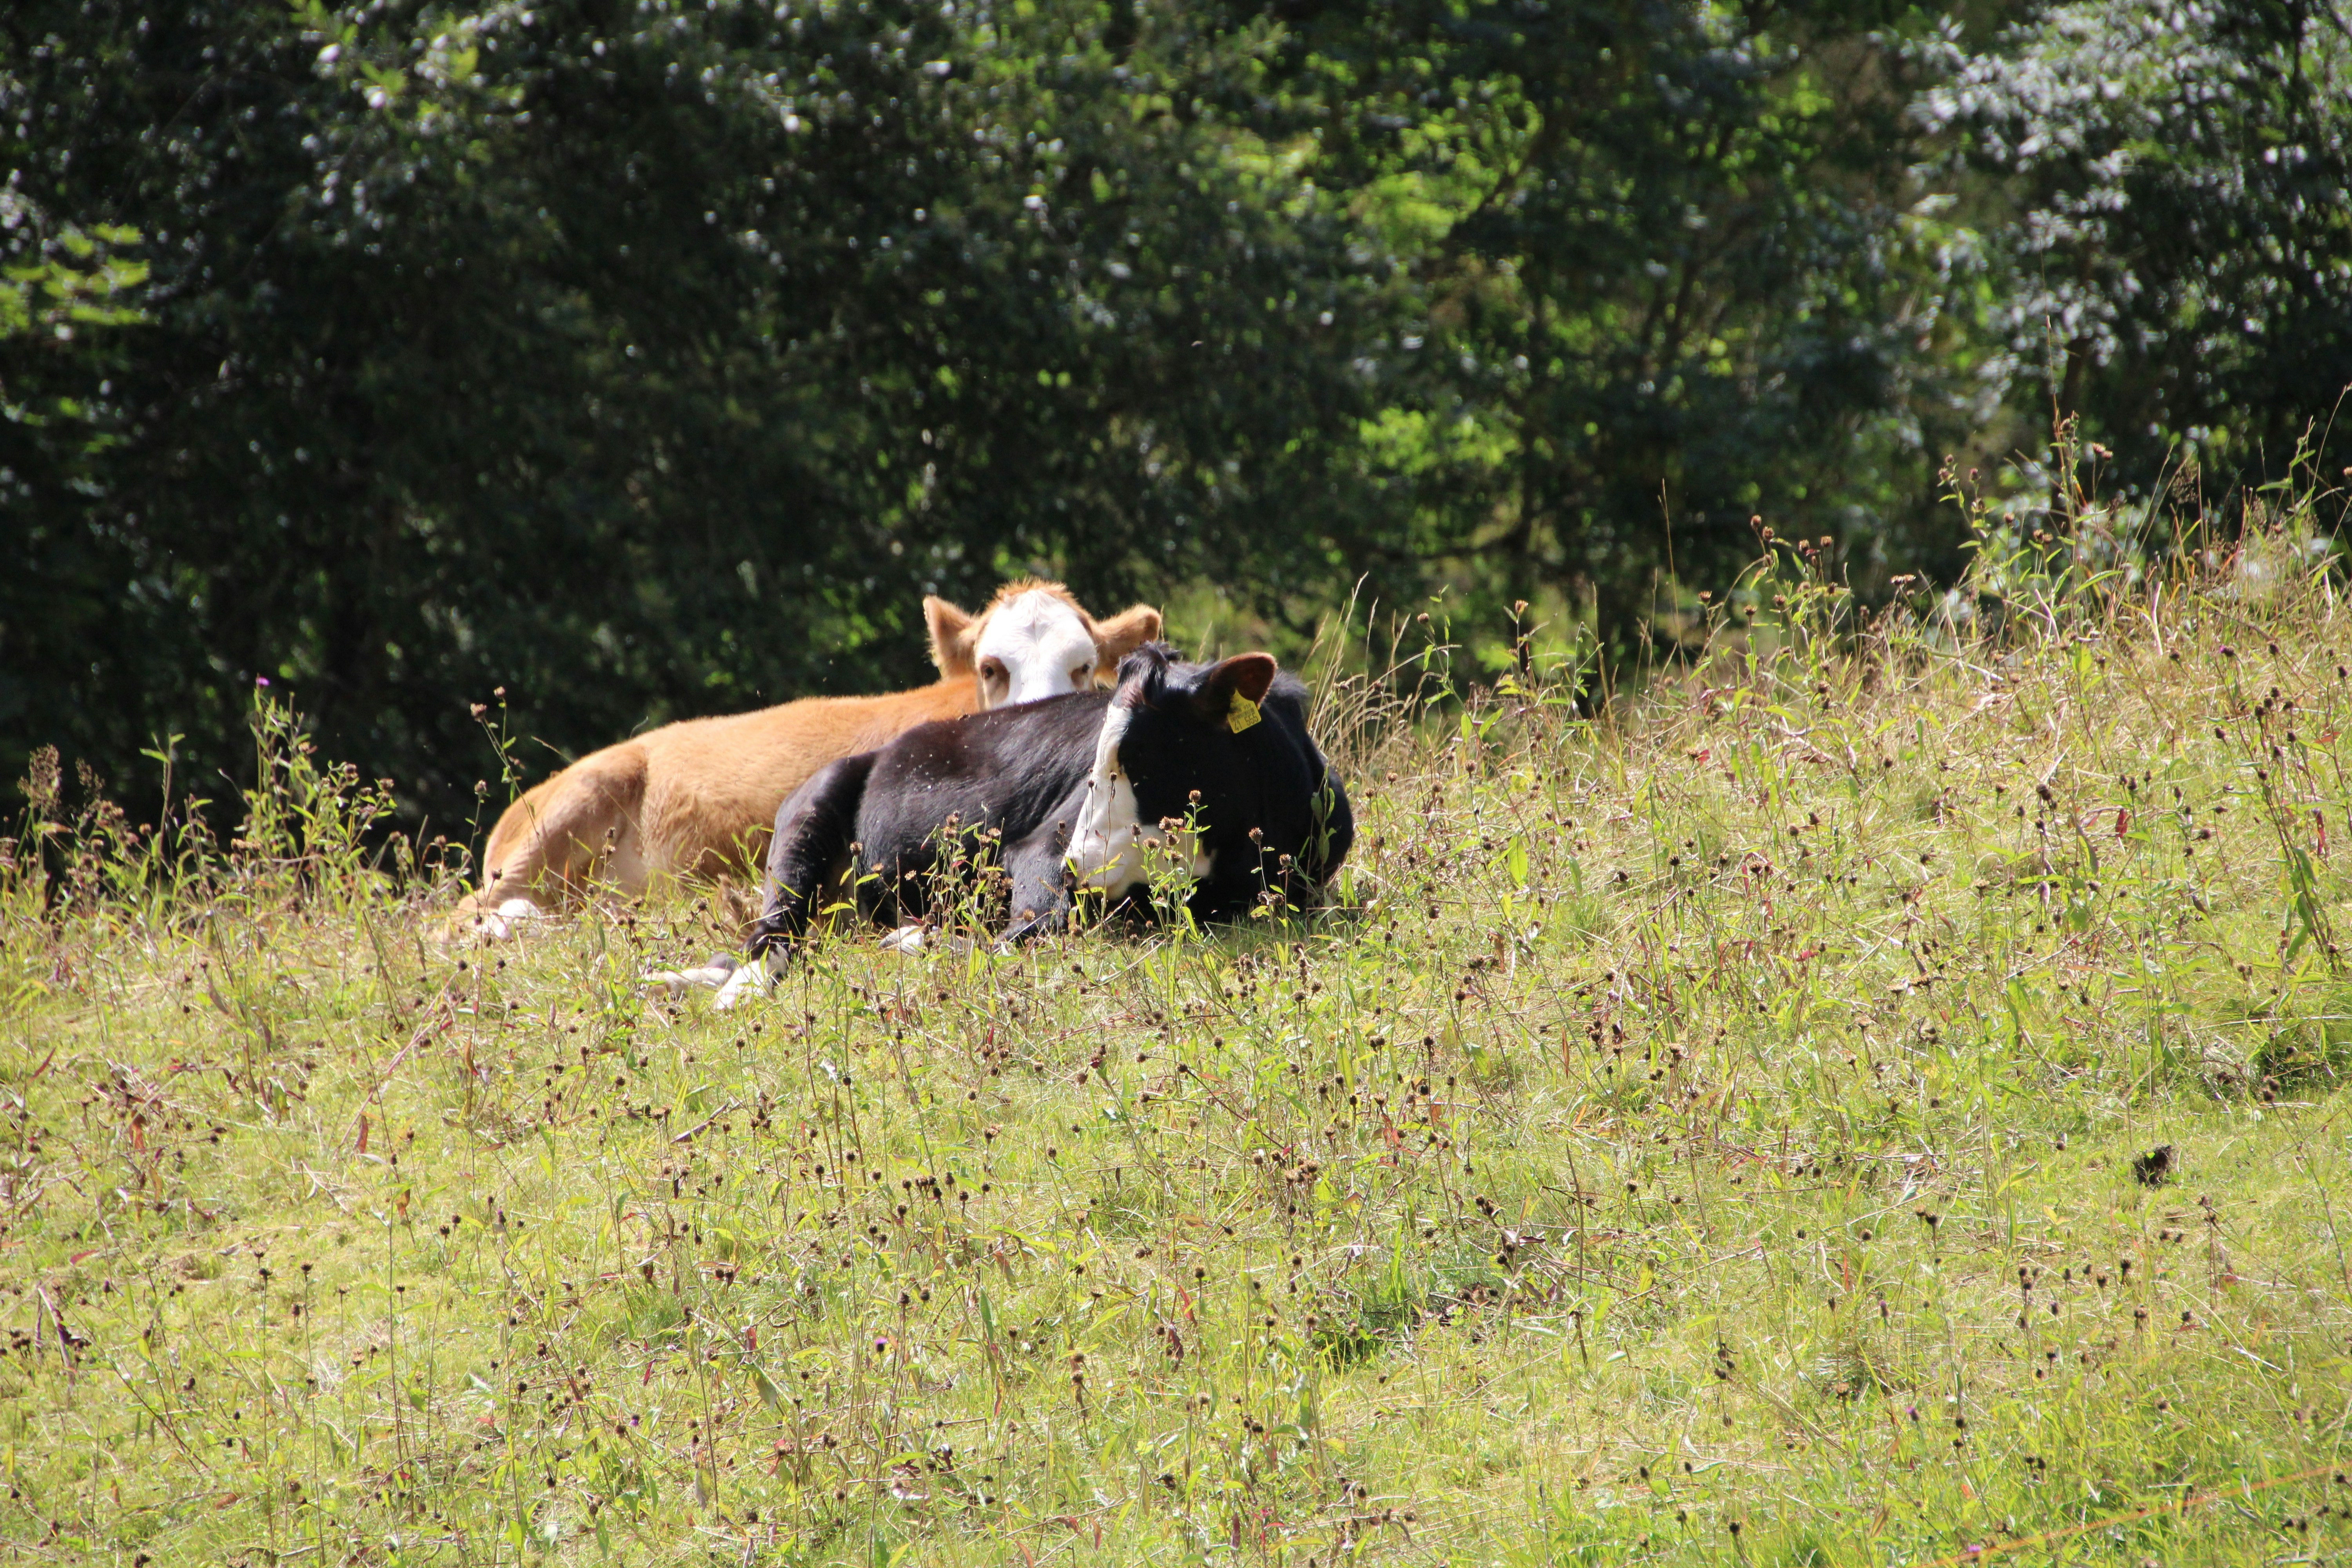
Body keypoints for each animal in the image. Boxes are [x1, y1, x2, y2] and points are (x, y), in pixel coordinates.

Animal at [703, 642, 1352, 1004]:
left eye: (1140, 757)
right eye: (1095, 756)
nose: (1080, 863)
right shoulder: (1039, 846)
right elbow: (1035, 928)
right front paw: (921, 940)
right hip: (809, 810)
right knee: (774, 930)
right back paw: (740, 989)